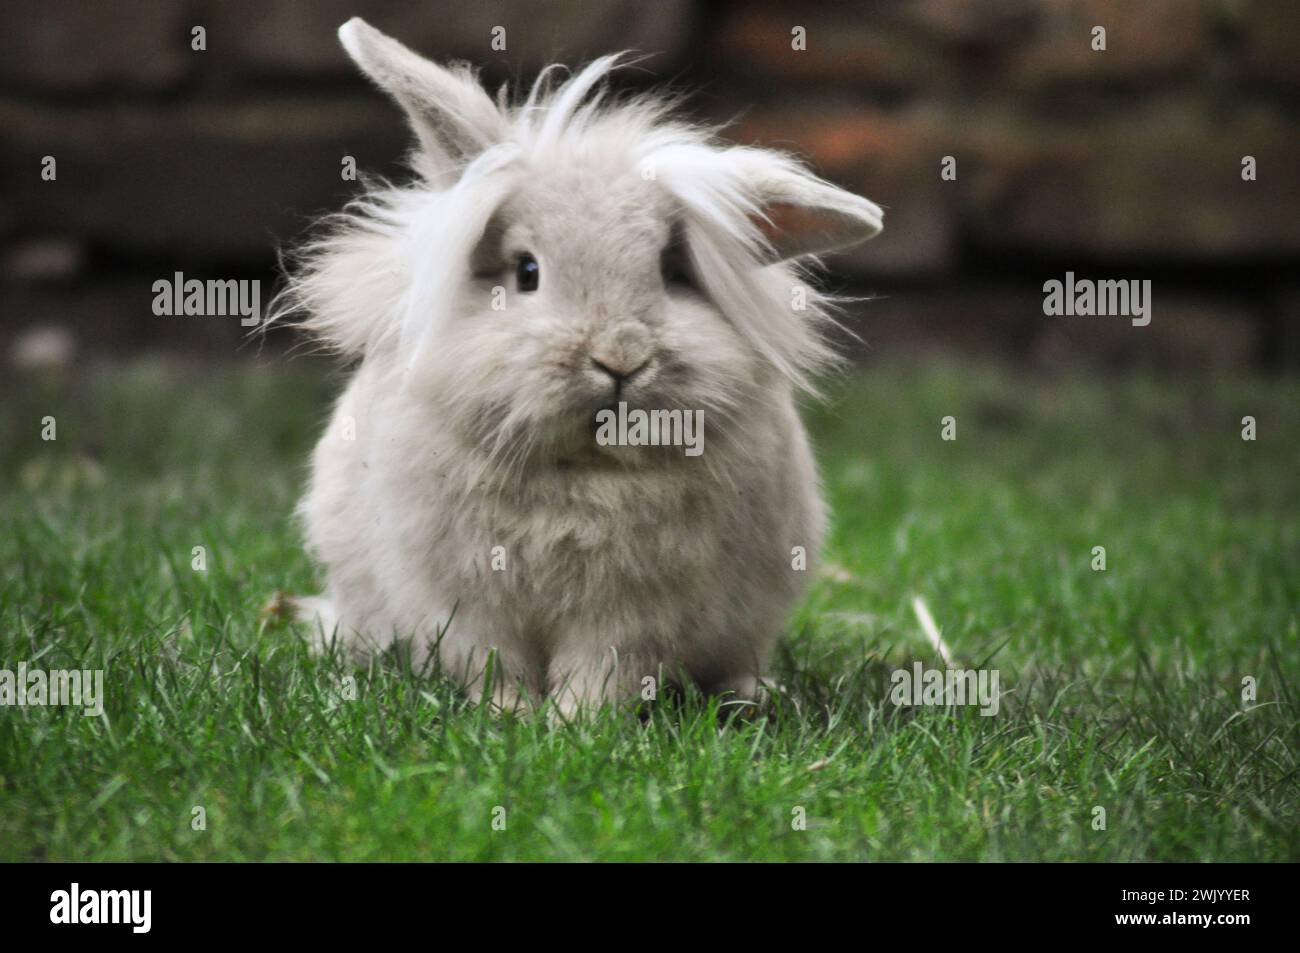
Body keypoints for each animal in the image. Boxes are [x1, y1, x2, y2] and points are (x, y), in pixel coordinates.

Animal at [279, 16, 878, 712]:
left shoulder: (634, 611)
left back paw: (752, 694)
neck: (584, 472)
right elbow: (491, 662)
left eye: (671, 272)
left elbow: (603, 668)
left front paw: (575, 723)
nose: (620, 356)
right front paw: (508, 717)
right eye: (526, 271)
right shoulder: (464, 601)